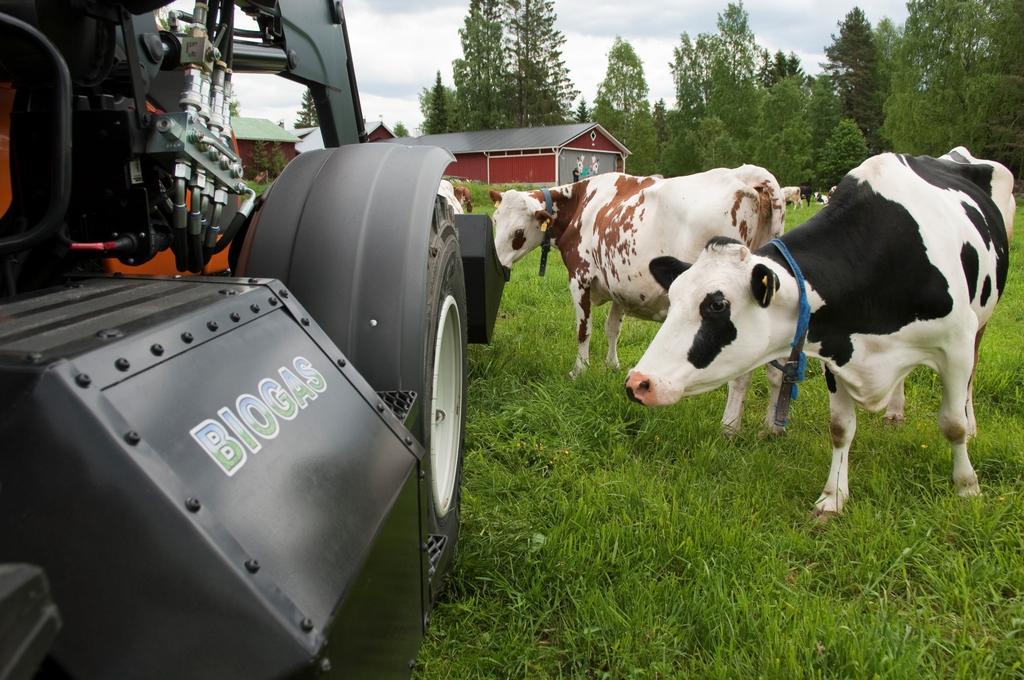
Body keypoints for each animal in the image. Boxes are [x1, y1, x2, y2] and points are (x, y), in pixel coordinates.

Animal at [487, 165, 782, 436]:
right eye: (494, 221)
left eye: (518, 232)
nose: (498, 264)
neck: (583, 202)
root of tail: (746, 174)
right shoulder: (620, 286)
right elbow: (612, 329)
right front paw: (612, 366)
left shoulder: (580, 278)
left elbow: (584, 330)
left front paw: (579, 370)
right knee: (776, 369)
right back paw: (771, 429)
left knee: (741, 376)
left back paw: (729, 427)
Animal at [622, 147, 1015, 516]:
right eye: (674, 296)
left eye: (717, 305)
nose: (638, 382)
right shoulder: (836, 348)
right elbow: (841, 428)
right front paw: (833, 498)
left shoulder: (955, 344)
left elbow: (952, 423)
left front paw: (967, 486)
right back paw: (894, 413)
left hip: (981, 322)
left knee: (970, 381)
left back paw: (971, 424)